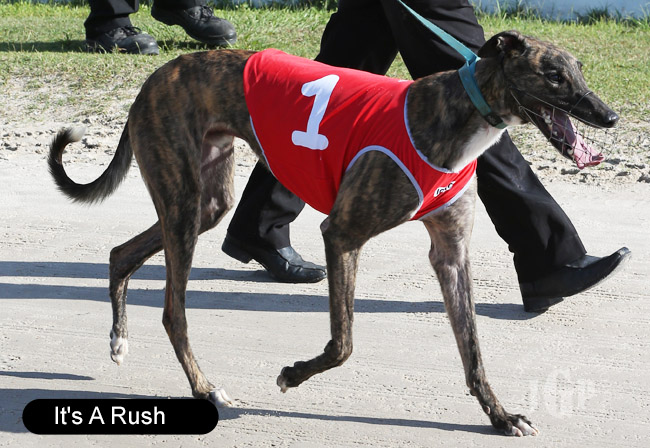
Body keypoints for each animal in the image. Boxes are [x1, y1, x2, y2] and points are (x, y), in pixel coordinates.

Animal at [48, 31, 618, 436]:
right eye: (553, 76)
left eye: (579, 71)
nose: (609, 116)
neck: (459, 112)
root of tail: (156, 76)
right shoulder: (341, 234)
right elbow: (343, 344)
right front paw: (292, 375)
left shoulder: (451, 254)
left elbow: (473, 350)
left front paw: (500, 417)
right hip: (184, 203)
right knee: (172, 313)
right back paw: (207, 390)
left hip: (204, 202)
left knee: (121, 252)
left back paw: (120, 338)